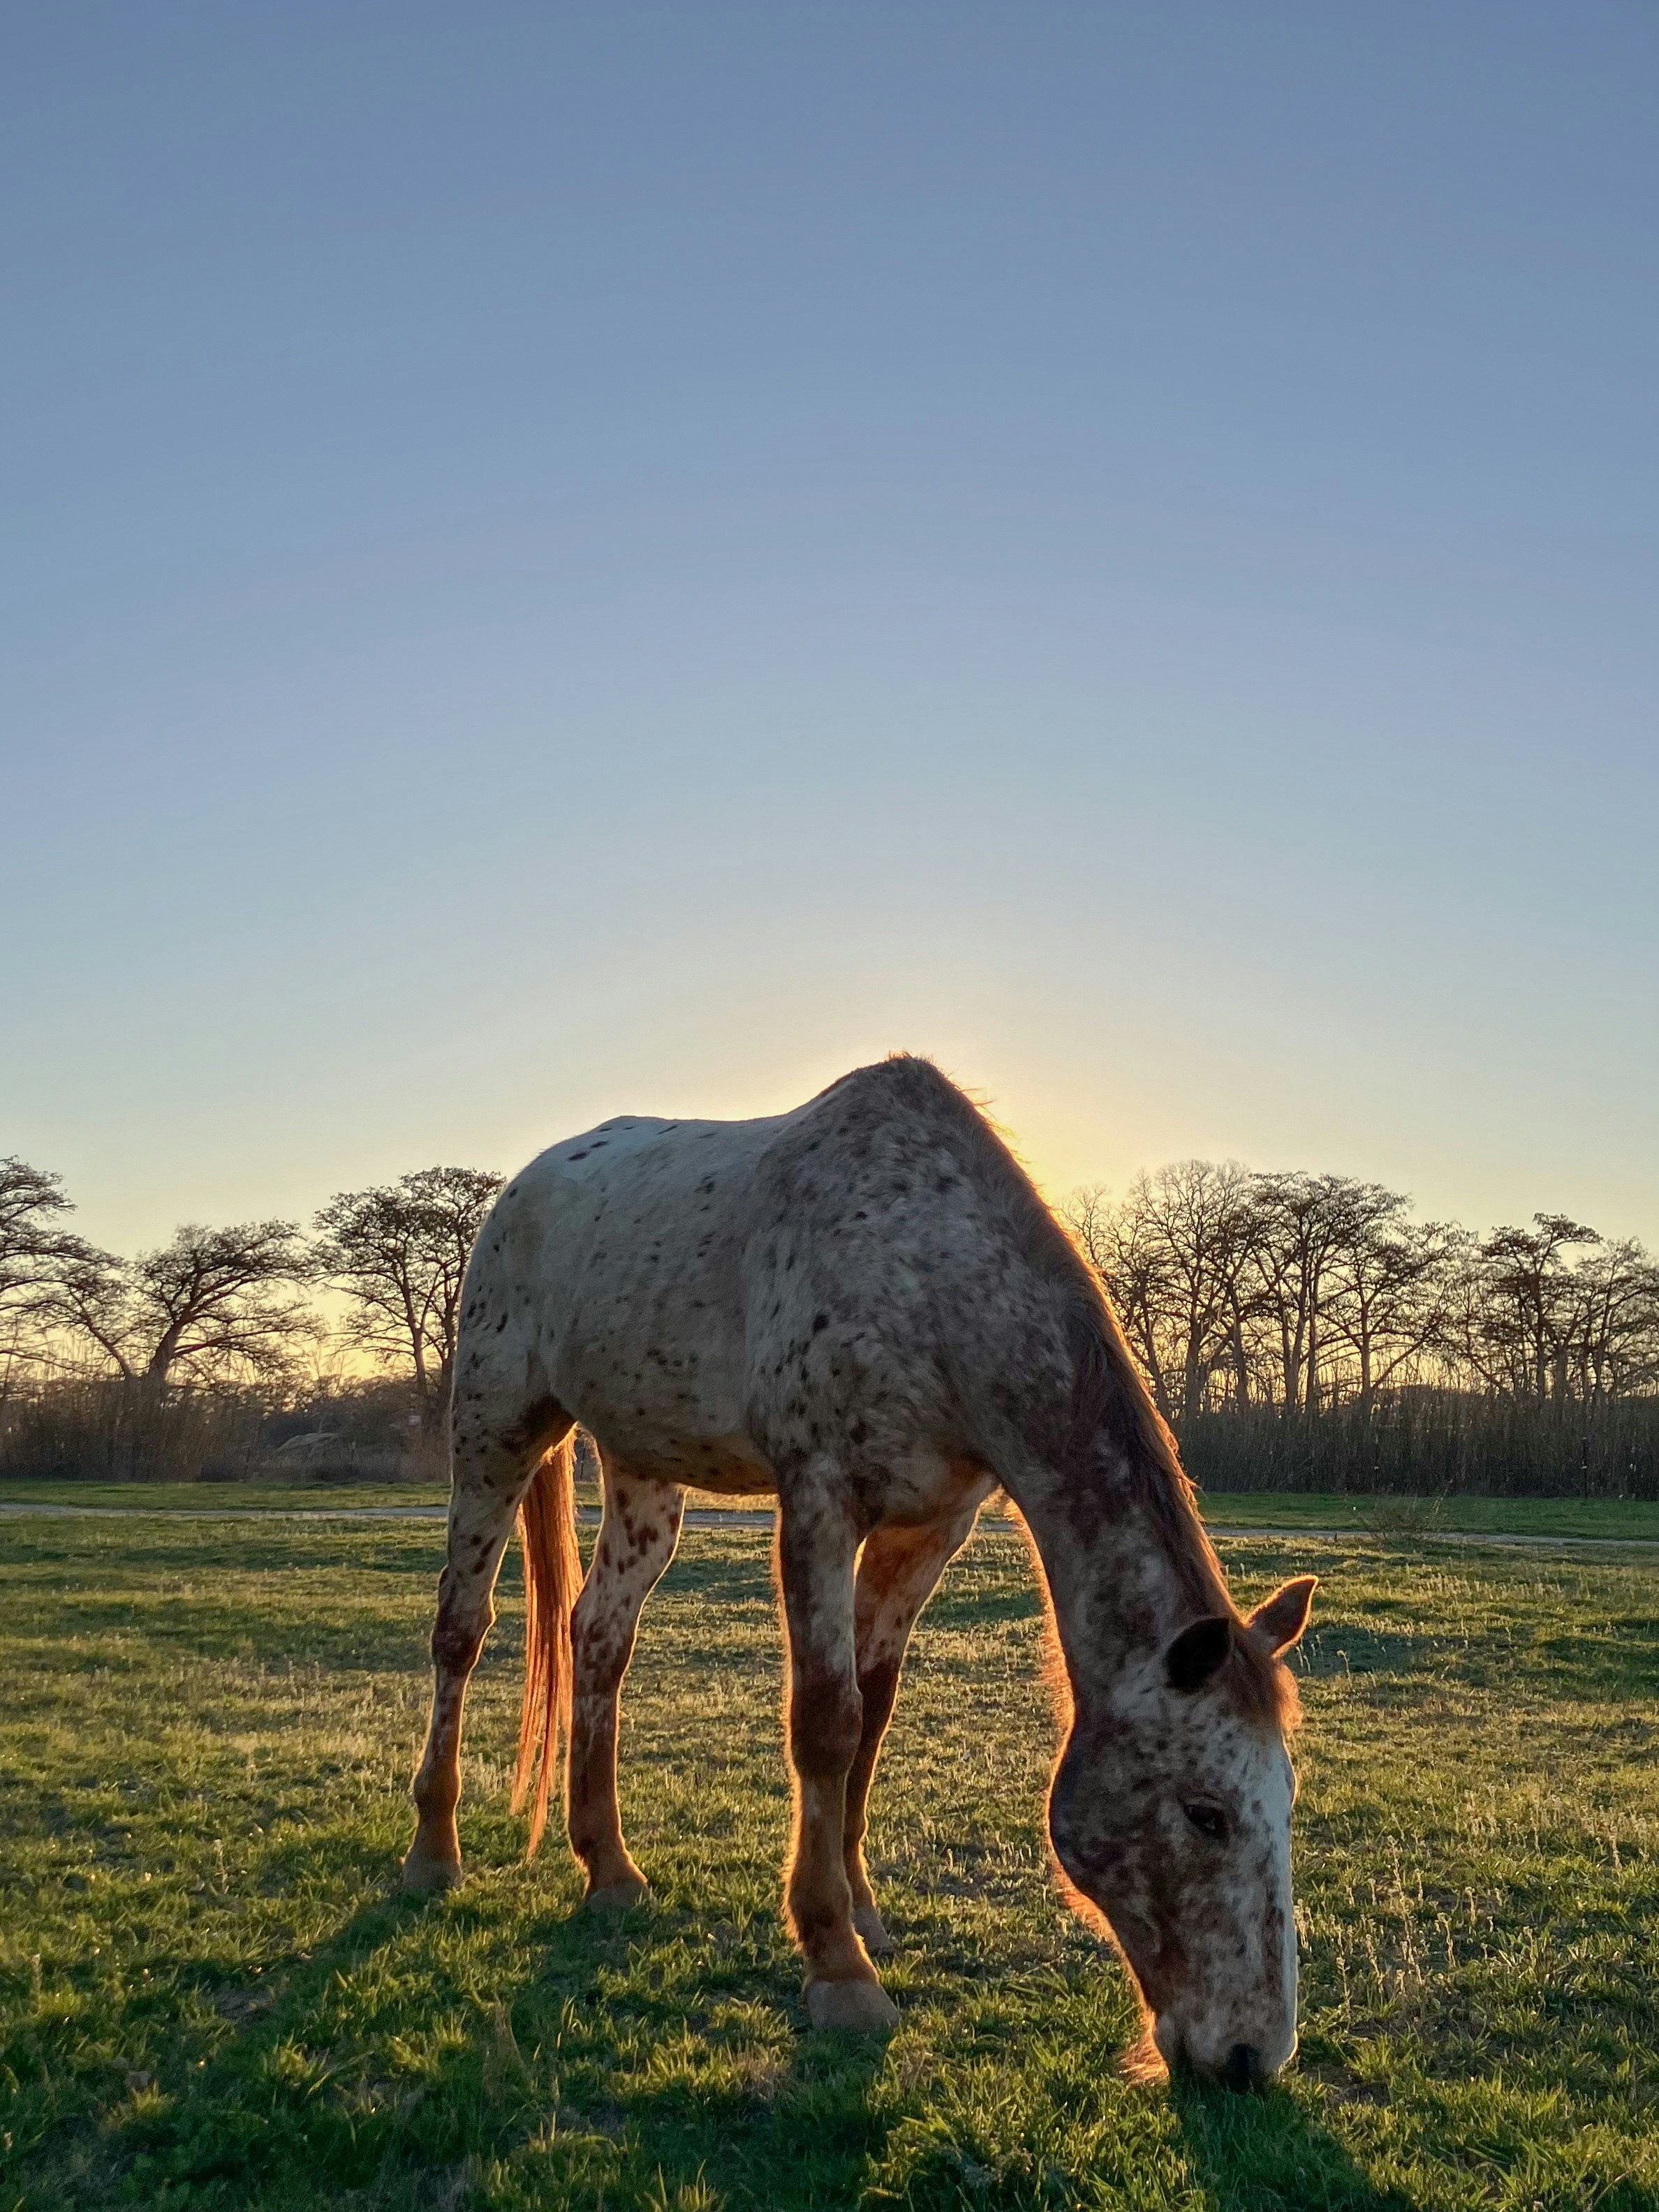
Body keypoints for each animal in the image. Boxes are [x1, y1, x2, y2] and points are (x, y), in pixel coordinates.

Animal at [402, 1056, 1315, 2084]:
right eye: (1206, 1814)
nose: (1252, 2054)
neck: (929, 1271)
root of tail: (524, 1186)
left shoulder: (929, 1530)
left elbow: (873, 1716)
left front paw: (863, 1908)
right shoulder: (820, 1502)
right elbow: (826, 1723)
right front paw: (836, 1962)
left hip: (643, 1469)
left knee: (599, 1638)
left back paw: (608, 1868)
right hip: (496, 1427)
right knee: (460, 1631)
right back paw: (432, 1849)